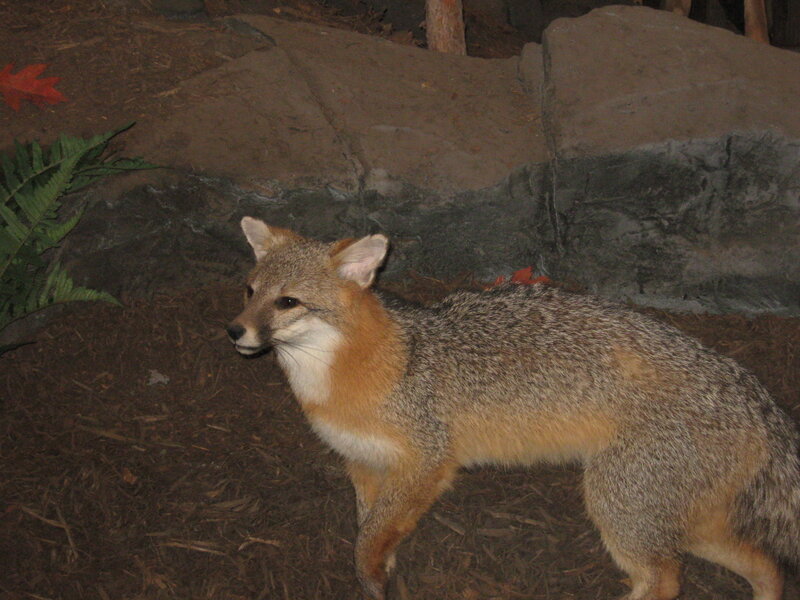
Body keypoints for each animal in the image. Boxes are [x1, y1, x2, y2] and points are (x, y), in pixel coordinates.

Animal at [226, 216, 800, 600]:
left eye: (287, 302)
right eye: (250, 291)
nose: (234, 331)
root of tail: (753, 392)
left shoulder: (427, 463)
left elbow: (367, 537)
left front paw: (372, 577)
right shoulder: (367, 465)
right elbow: (372, 528)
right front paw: (380, 571)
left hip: (621, 505)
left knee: (665, 580)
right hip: (679, 520)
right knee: (767, 568)